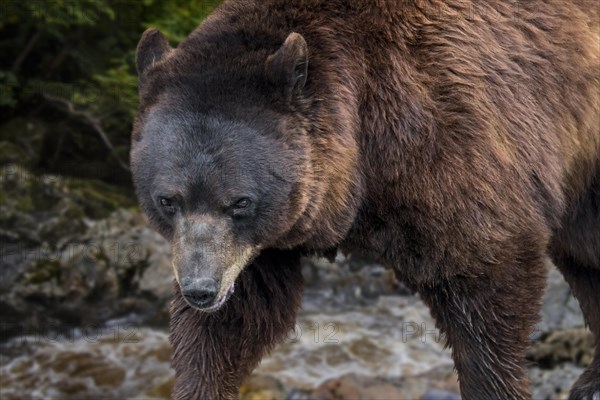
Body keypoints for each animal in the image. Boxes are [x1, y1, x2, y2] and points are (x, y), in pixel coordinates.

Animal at [131, 0, 600, 400]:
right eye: (168, 200)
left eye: (240, 201)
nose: (200, 290)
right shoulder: (258, 246)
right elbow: (234, 322)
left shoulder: (445, 137)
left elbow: (486, 276)